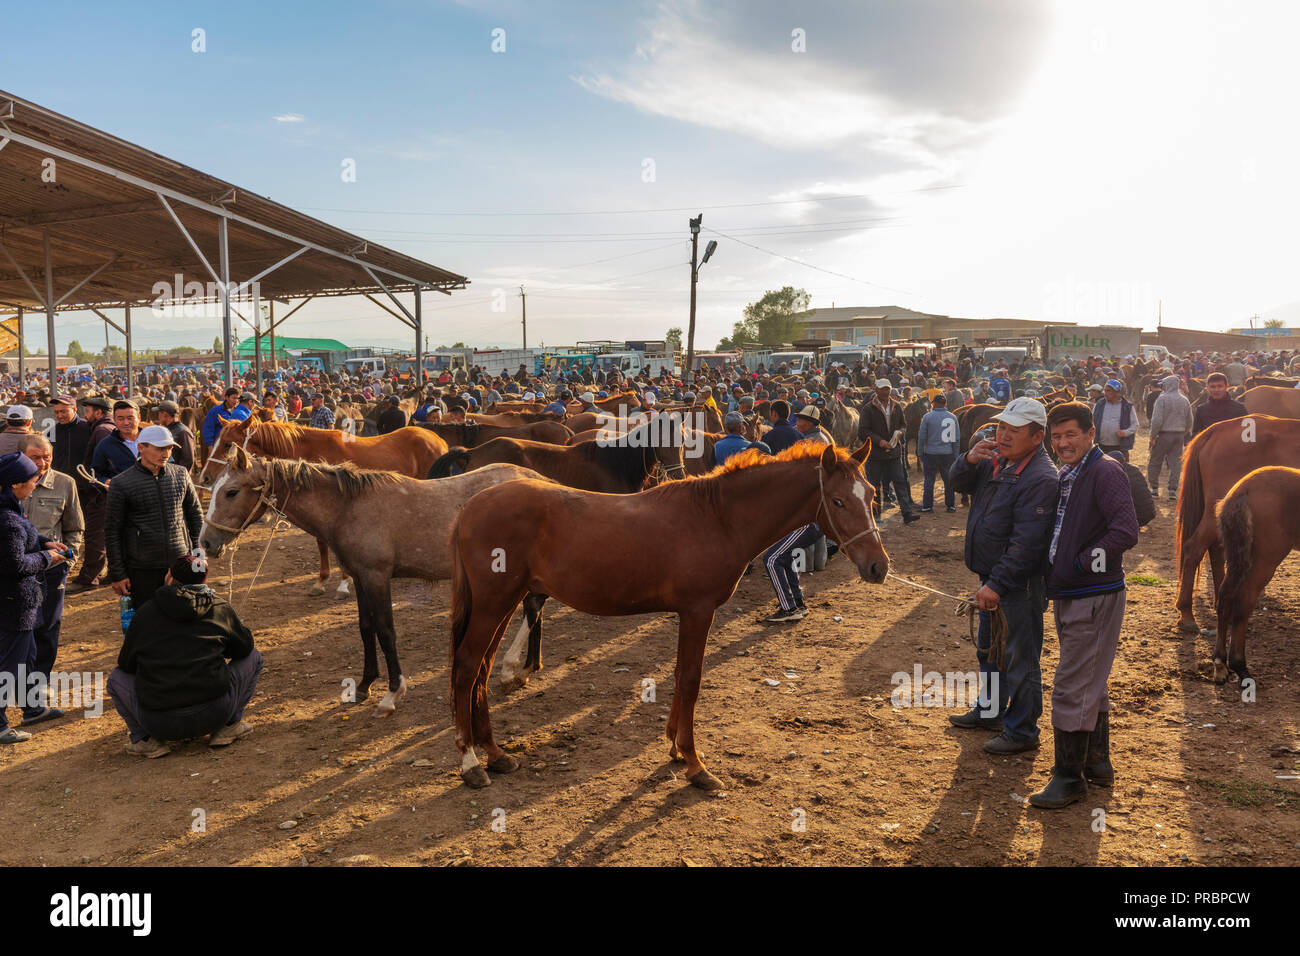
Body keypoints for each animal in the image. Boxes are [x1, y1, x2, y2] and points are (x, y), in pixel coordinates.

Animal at [197, 452, 548, 712]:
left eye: (231, 492)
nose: (207, 542)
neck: (348, 508)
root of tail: (540, 480)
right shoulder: (360, 577)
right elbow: (366, 628)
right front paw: (365, 684)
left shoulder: (377, 577)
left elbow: (385, 630)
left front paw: (393, 691)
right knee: (535, 607)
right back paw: (527, 667)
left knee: (530, 609)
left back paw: (513, 666)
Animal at [441, 442, 889, 790]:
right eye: (838, 501)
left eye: (869, 494)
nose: (878, 567)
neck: (717, 518)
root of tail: (468, 507)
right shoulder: (697, 611)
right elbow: (690, 678)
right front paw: (694, 762)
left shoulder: (689, 614)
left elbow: (678, 674)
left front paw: (674, 746)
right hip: (493, 603)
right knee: (467, 666)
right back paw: (470, 763)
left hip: (502, 603)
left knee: (481, 669)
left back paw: (495, 753)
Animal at [1211, 468, 1294, 686]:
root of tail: (1243, 488)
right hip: (1266, 558)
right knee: (1245, 598)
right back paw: (1239, 665)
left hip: (1237, 556)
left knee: (1225, 596)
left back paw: (1220, 663)